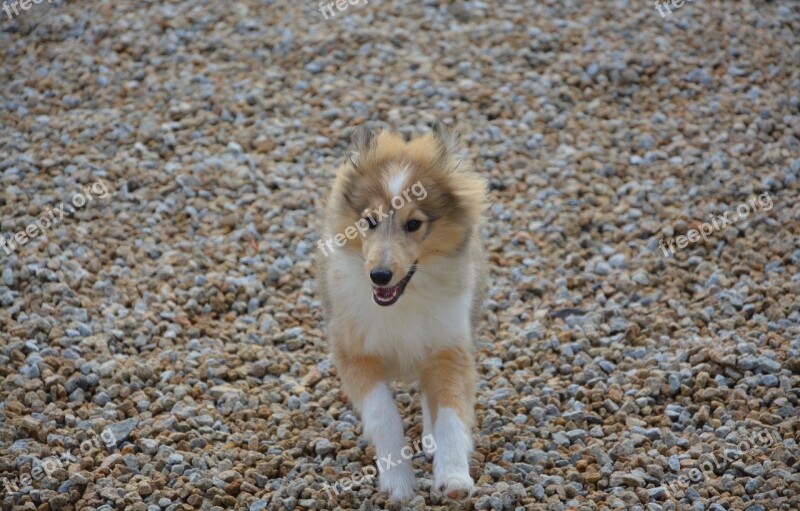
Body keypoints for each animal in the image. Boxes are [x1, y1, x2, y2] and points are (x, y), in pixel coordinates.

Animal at [318, 125, 488, 504]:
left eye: (414, 224)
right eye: (369, 220)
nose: (379, 276)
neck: (402, 301)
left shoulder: (450, 347)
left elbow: (452, 411)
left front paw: (453, 478)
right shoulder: (355, 353)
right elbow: (384, 416)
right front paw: (398, 484)